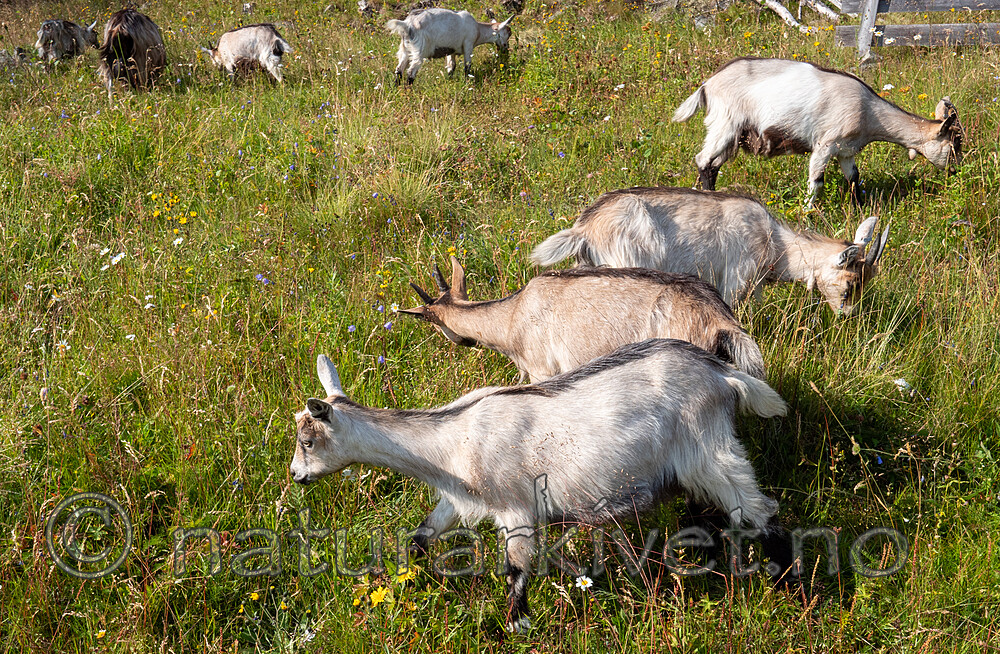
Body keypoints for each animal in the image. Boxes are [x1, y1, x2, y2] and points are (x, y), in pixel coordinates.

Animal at [291, 342, 791, 631]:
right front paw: (400, 577)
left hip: (710, 450)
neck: (452, 441)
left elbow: (515, 569)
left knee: (760, 511)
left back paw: (788, 583)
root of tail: (722, 374)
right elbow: (421, 537)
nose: (296, 476)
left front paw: (517, 625)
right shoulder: (458, 502)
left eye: (307, 440)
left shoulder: (516, 509)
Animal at [672, 57, 963, 206]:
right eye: (954, 144)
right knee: (704, 160)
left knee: (714, 164)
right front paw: (808, 212)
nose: (956, 170)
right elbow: (816, 180)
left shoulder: (846, 150)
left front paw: (860, 208)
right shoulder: (826, 144)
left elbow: (854, 178)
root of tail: (707, 85)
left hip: (736, 136)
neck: (868, 111)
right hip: (726, 123)